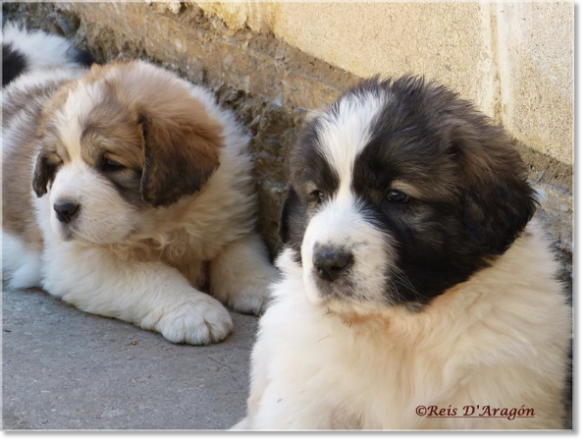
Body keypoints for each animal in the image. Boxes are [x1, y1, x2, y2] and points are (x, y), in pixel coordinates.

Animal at [2, 25, 276, 346]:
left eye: (110, 164)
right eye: (57, 164)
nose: (62, 209)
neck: (166, 224)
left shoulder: (230, 215)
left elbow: (242, 254)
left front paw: (268, 287)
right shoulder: (81, 261)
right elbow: (151, 275)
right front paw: (193, 310)